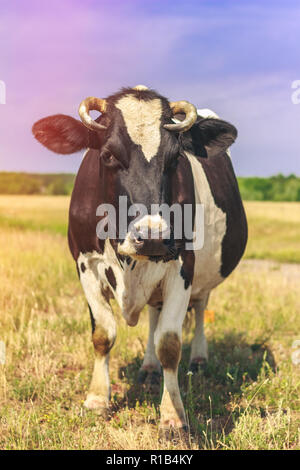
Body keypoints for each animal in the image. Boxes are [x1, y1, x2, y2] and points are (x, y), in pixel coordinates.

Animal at [33, 85, 248, 436]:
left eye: (175, 158)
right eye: (108, 155)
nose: (153, 236)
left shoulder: (182, 267)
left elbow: (170, 343)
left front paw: (172, 416)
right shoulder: (85, 265)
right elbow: (103, 334)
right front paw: (96, 400)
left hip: (203, 277)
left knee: (200, 308)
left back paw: (199, 359)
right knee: (153, 315)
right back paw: (148, 367)